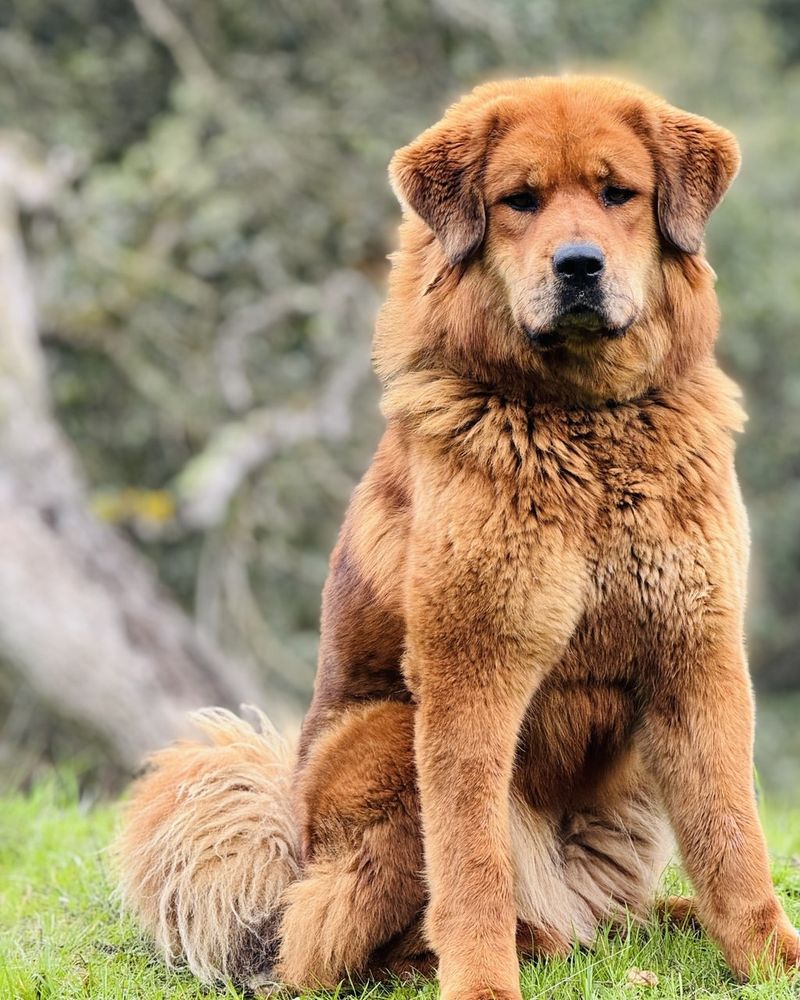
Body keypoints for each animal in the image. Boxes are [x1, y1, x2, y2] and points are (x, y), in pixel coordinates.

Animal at [117, 76, 800, 992]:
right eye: (521, 201)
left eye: (618, 193)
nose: (578, 265)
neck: (582, 426)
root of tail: (288, 851)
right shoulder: (472, 667)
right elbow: (472, 861)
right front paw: (480, 983)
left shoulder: (697, 652)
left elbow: (734, 840)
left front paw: (769, 960)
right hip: (385, 738)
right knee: (326, 944)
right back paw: (489, 952)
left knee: (612, 919)